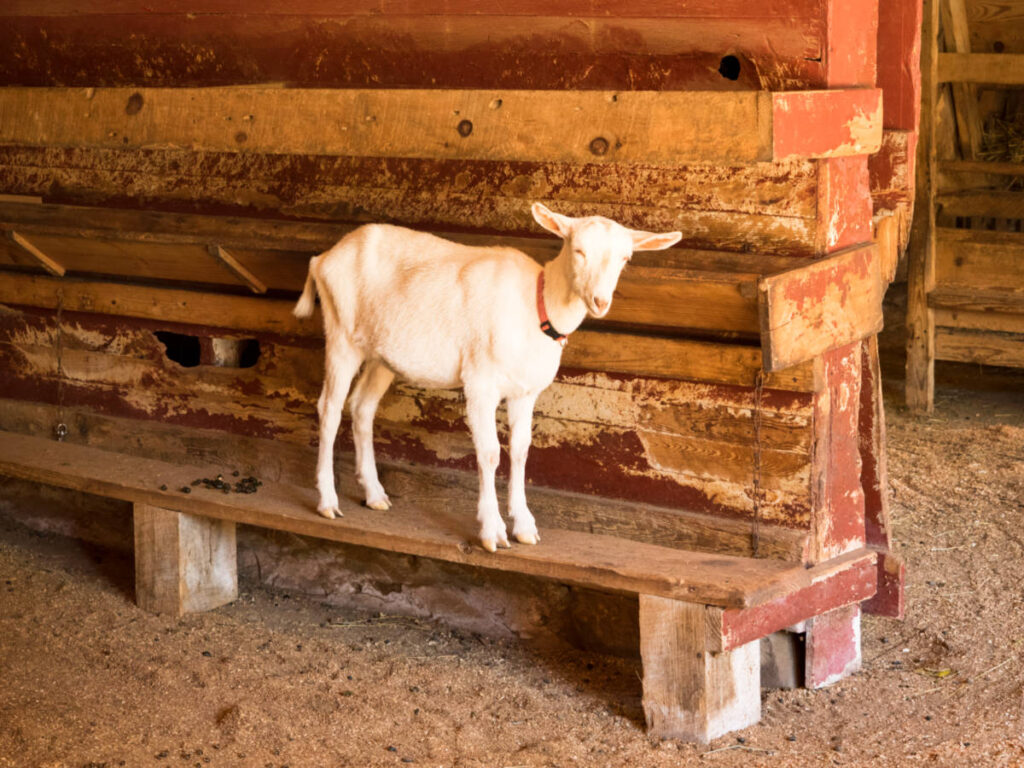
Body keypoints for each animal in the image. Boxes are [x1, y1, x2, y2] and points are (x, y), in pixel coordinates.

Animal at [293, 203, 681, 552]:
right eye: (578, 249)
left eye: (625, 258)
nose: (600, 301)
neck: (536, 306)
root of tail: (322, 258)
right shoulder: (480, 383)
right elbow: (490, 452)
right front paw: (493, 531)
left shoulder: (525, 391)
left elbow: (521, 450)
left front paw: (525, 526)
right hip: (341, 333)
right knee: (329, 408)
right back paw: (327, 501)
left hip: (382, 355)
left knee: (362, 407)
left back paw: (374, 494)